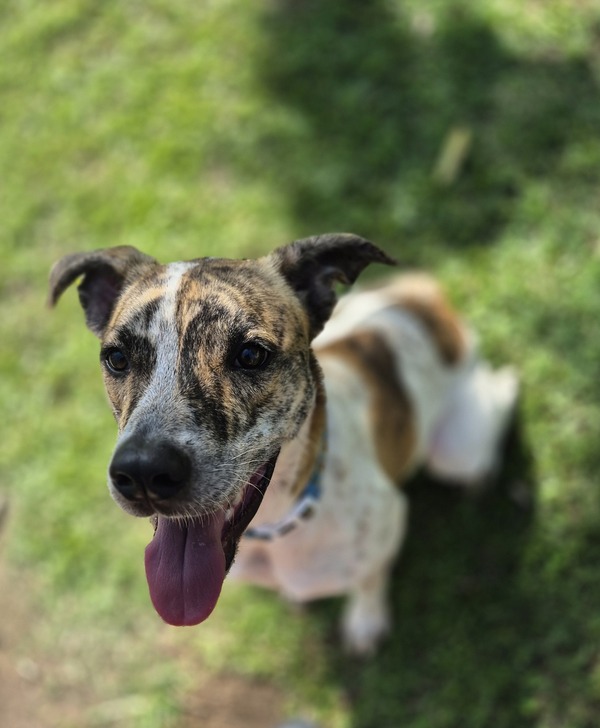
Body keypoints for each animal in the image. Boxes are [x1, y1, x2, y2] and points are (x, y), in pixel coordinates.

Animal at [49, 234, 518, 654]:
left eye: (250, 355)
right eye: (117, 358)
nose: (143, 472)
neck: (275, 527)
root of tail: (424, 299)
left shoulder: (387, 526)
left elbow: (371, 580)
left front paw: (365, 620)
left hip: (455, 450)